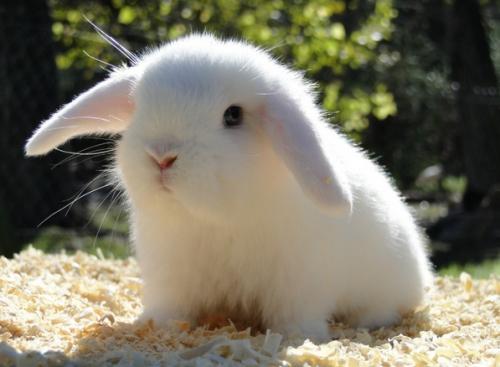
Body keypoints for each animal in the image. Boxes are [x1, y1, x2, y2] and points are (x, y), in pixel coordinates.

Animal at [25, 33, 432, 342]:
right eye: (139, 106)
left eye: (232, 115)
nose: (161, 156)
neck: (217, 218)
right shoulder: (171, 277)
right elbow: (171, 310)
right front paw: (155, 328)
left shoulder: (299, 282)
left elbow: (295, 317)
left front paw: (301, 339)